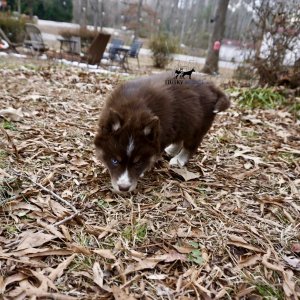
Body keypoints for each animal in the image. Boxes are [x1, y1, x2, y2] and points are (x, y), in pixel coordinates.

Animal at [94, 74, 230, 193]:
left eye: (138, 163)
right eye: (114, 161)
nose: (123, 188)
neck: (133, 111)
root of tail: (212, 86)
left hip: (198, 125)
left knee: (190, 145)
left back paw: (179, 160)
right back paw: (172, 150)